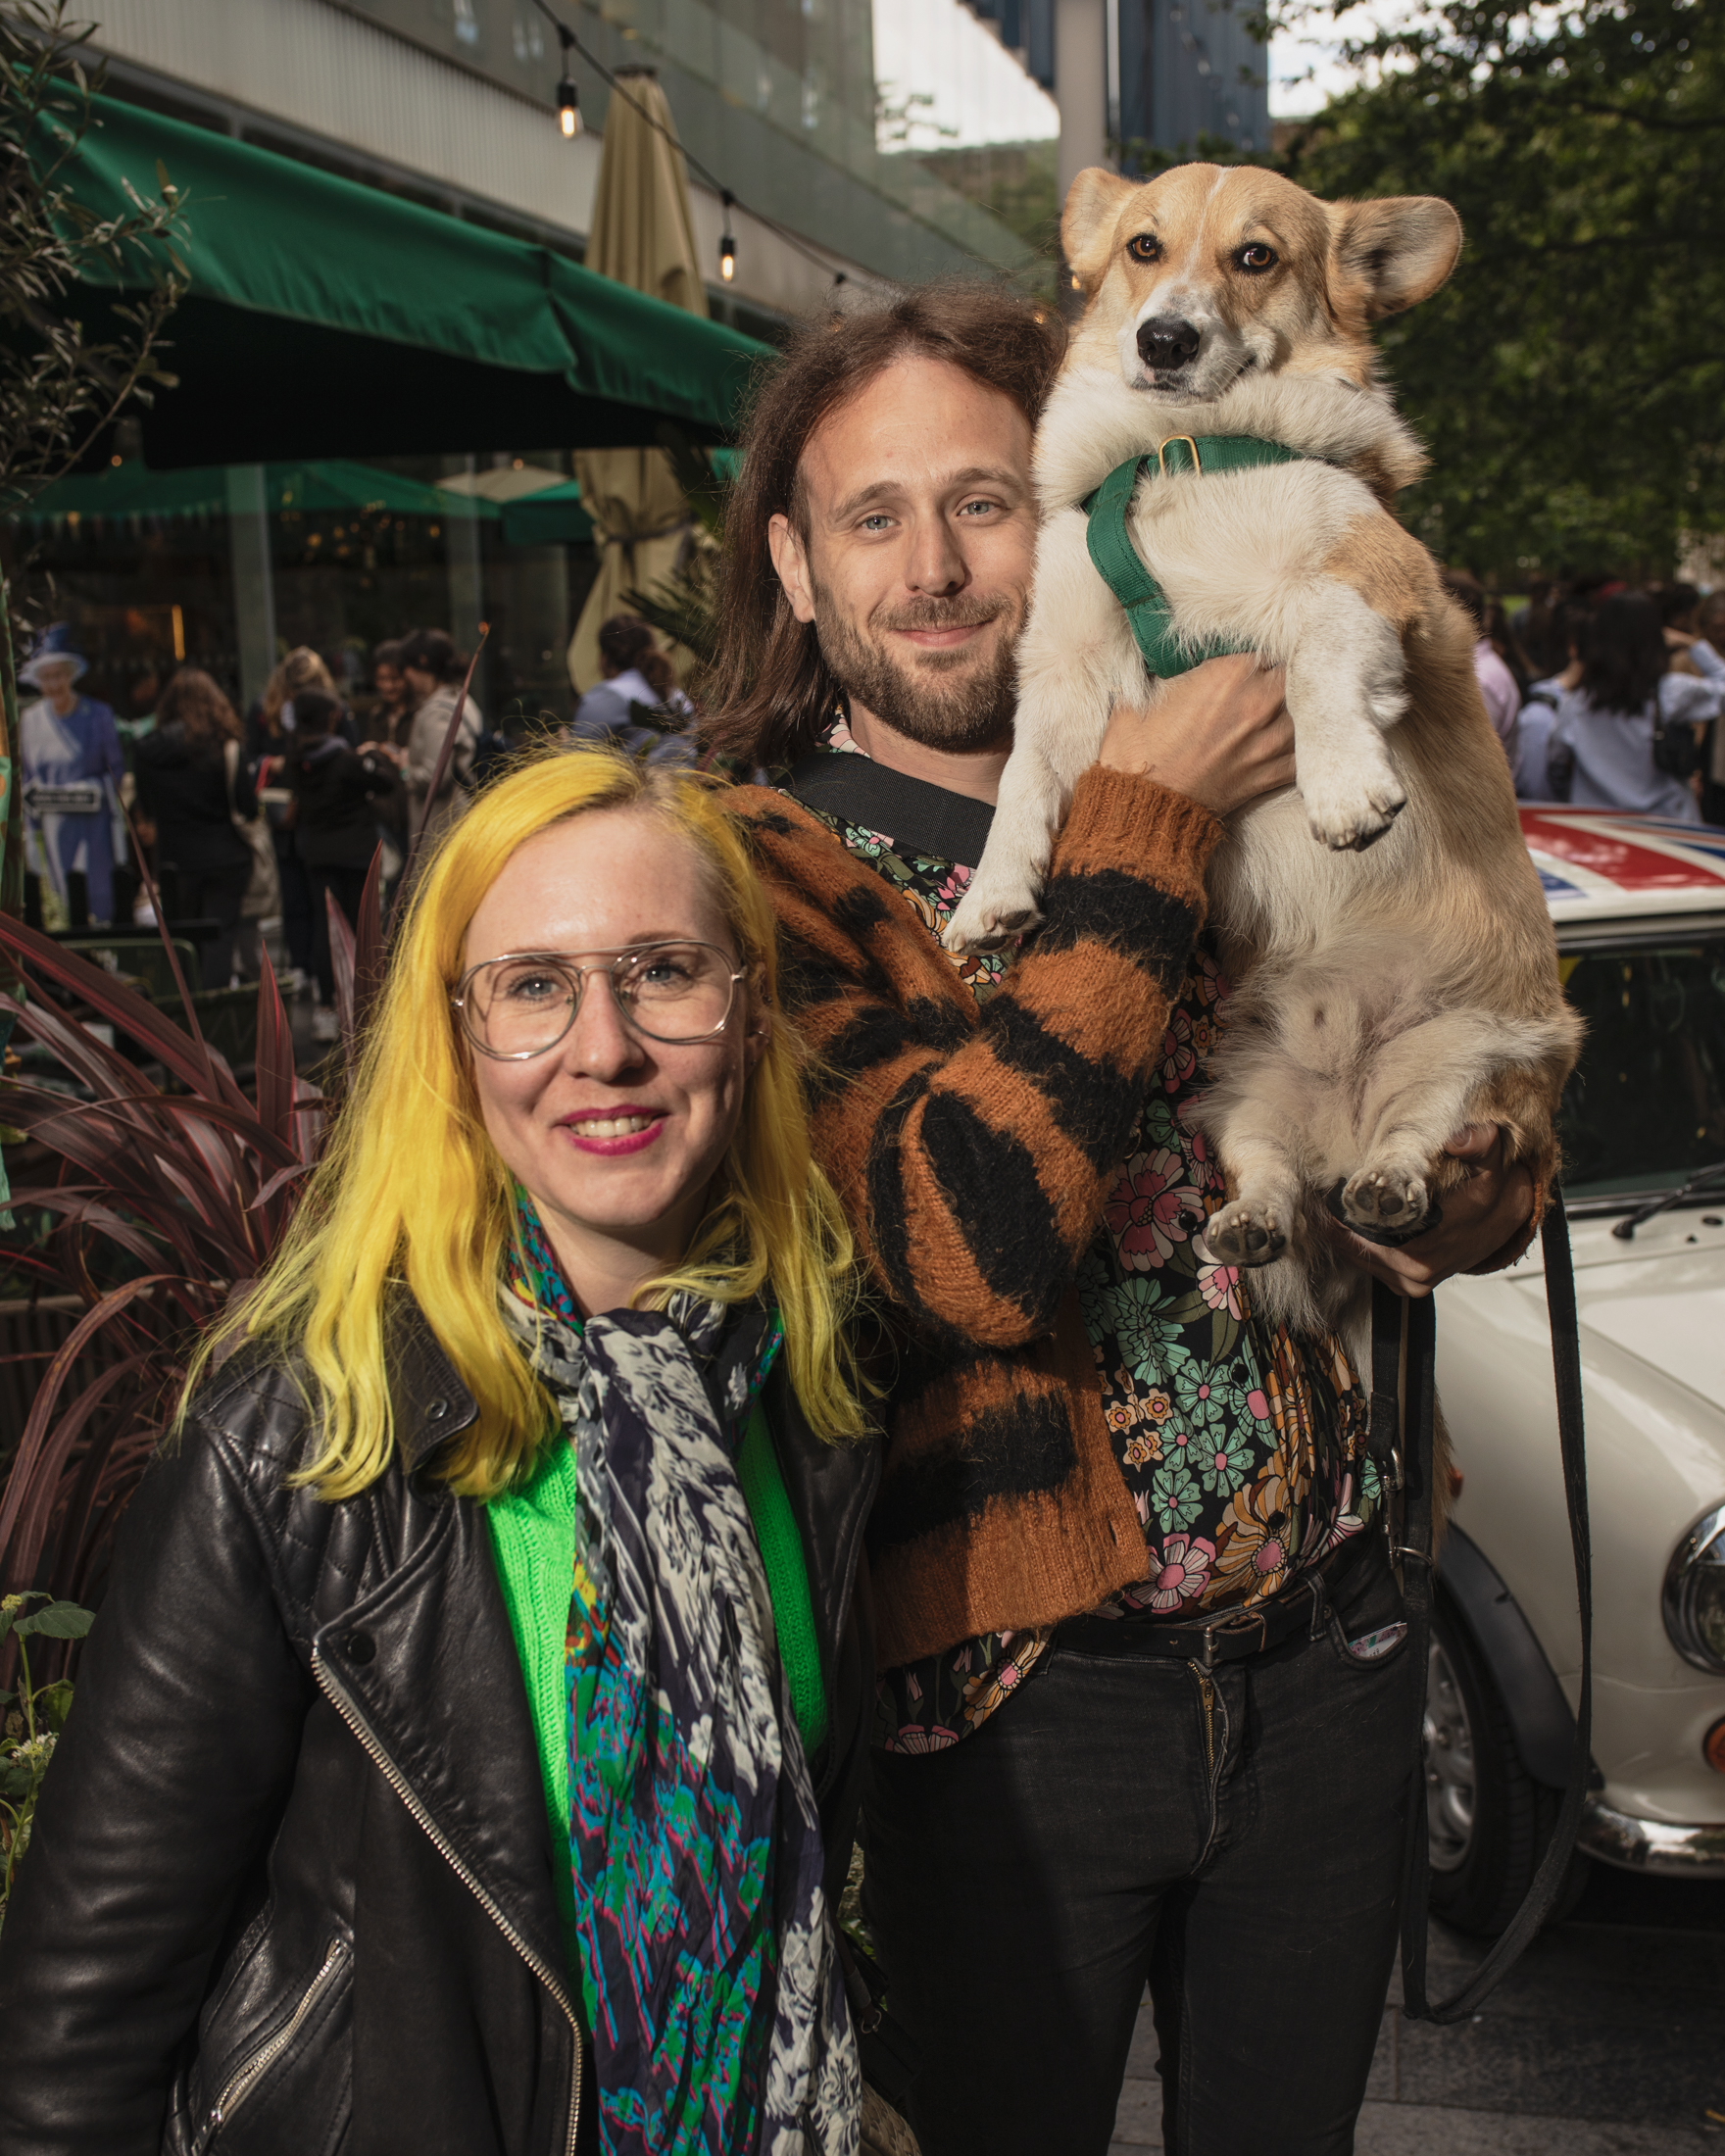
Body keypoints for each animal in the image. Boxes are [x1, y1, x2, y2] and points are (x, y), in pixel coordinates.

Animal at [944, 168, 1578, 1353]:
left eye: (1255, 257)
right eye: (1144, 247)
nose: (1163, 340)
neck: (1183, 456)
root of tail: (1347, 1109)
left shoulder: (1384, 590)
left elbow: (1317, 637)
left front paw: (1341, 788)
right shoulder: (1064, 670)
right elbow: (1022, 778)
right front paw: (993, 898)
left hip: (1486, 1065)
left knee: (1425, 1138)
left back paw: (1389, 1183)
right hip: (1235, 1093)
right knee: (1271, 1171)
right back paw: (1252, 1221)